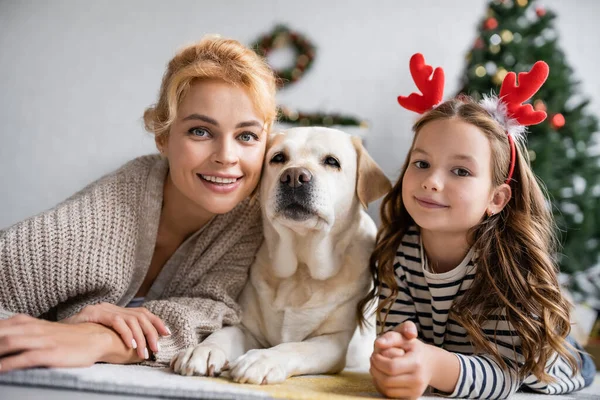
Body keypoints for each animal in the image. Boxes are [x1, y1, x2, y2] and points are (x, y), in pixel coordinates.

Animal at [171, 127, 392, 384]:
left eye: (332, 161)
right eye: (278, 158)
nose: (294, 176)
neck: (300, 270)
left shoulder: (334, 341)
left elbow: (295, 347)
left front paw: (261, 359)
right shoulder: (247, 328)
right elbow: (223, 334)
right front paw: (203, 350)